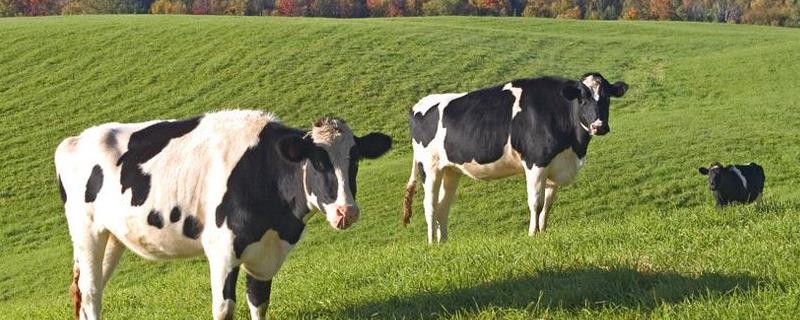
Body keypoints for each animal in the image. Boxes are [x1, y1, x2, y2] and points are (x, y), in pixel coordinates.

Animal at [54, 110, 392, 320]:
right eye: (318, 162)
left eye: (355, 160)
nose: (346, 211)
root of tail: (74, 140)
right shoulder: (222, 248)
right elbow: (224, 307)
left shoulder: (265, 252)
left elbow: (259, 302)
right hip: (87, 232)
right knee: (90, 291)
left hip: (112, 237)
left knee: (89, 289)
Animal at [404, 72, 628, 242]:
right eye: (582, 98)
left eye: (607, 97)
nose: (599, 126)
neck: (574, 149)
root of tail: (419, 104)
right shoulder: (536, 162)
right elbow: (536, 203)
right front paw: (532, 234)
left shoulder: (554, 165)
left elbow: (547, 205)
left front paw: (543, 232)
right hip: (429, 168)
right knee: (430, 206)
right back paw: (432, 243)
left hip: (451, 170)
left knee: (443, 207)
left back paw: (444, 242)